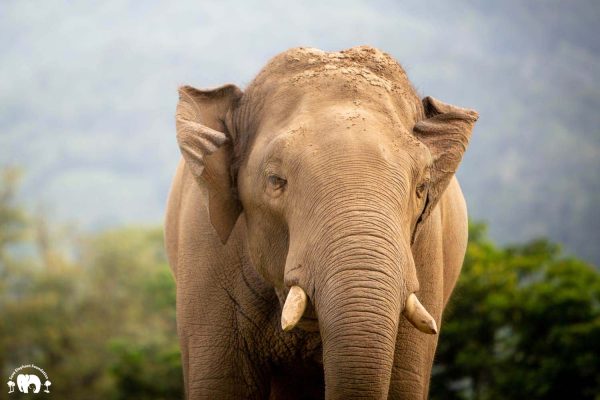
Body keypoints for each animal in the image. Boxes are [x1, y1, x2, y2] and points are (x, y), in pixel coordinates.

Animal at [164, 45, 478, 398]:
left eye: (422, 187)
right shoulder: (205, 248)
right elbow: (221, 386)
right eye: (275, 181)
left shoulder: (425, 249)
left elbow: (404, 383)